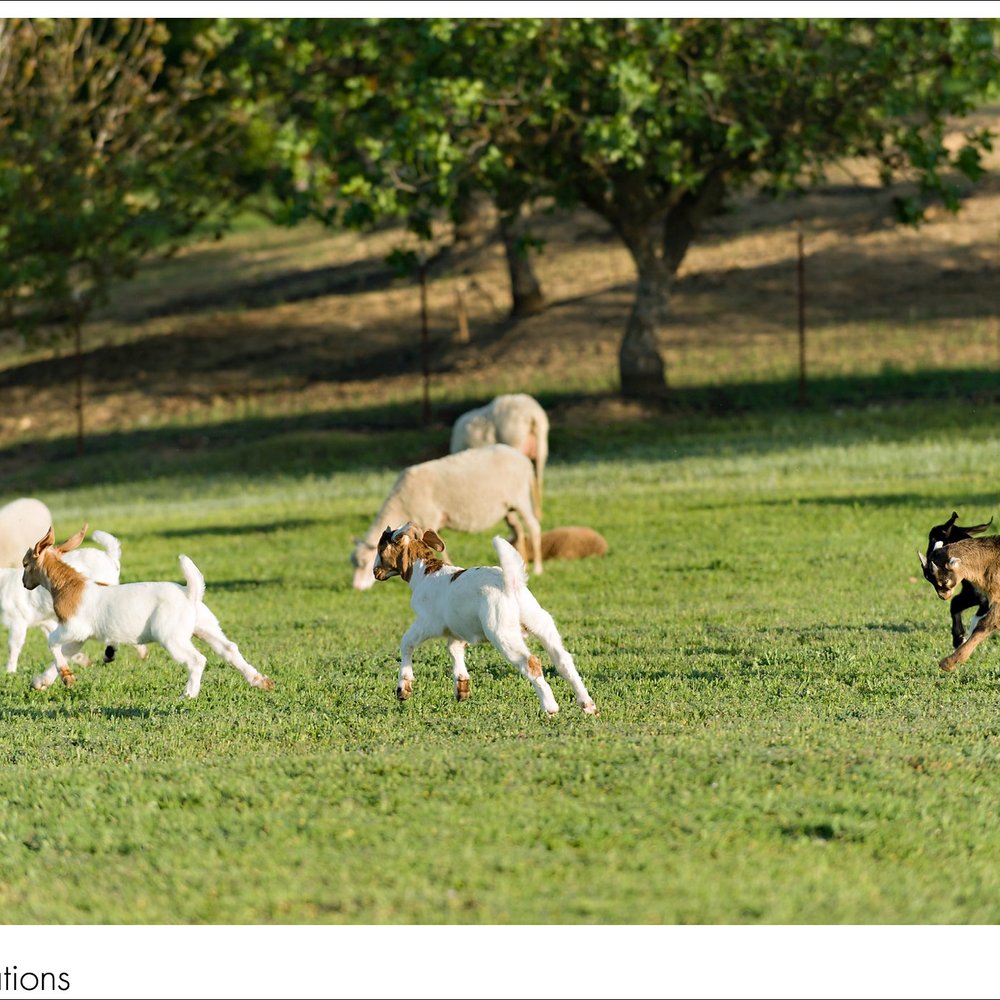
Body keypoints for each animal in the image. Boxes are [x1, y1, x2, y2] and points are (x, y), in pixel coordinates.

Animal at [1, 528, 143, 675]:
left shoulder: (18, 619)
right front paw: (81, 660)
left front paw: (10, 671)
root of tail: (110, 556)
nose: (23, 583)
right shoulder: (48, 621)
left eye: (25, 564)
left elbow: (14, 646)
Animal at [22, 525, 274, 698]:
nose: (24, 583)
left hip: (171, 637)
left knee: (197, 660)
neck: (69, 584)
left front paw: (66, 678)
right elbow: (65, 653)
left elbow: (52, 643)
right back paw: (260, 680)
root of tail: (190, 593)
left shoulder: (73, 628)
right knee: (229, 649)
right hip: (206, 627)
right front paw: (43, 682)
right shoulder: (78, 639)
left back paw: (188, 694)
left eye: (25, 564)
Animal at [351, 443, 542, 590]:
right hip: (508, 508)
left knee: (533, 527)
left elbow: (440, 550)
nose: (356, 588)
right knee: (518, 530)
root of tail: (523, 458)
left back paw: (538, 569)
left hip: (521, 499)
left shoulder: (429, 520)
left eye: (364, 562)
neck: (401, 504)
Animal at [372, 522, 597, 716]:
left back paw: (550, 707)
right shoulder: (459, 629)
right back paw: (587, 705)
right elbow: (453, 649)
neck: (425, 571)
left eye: (381, 548)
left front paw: (403, 688)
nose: (375, 572)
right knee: (563, 660)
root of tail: (511, 583)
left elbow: (406, 642)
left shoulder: (427, 623)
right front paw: (462, 687)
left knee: (531, 662)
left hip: (502, 634)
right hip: (541, 624)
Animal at [918, 511, 992, 647]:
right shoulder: (972, 594)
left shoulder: (978, 595)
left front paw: (959, 638)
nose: (925, 569)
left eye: (932, 539)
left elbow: (955, 603)